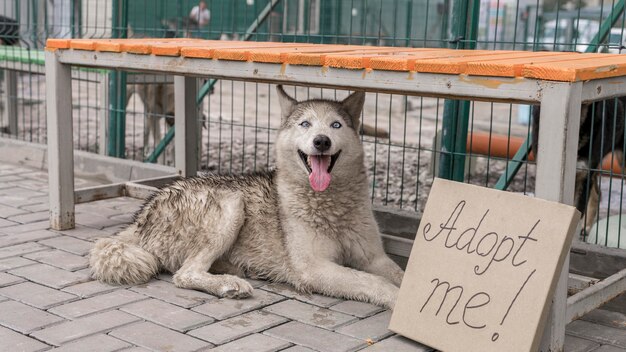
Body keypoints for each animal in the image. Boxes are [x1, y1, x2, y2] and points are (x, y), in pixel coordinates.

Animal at [91, 85, 404, 308]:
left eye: (336, 125)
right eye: (305, 124)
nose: (321, 141)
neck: (331, 204)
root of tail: (143, 212)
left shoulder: (375, 257)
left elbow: (398, 275)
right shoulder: (314, 267)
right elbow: (373, 282)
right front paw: (397, 301)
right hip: (232, 205)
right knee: (184, 274)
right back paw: (228, 284)